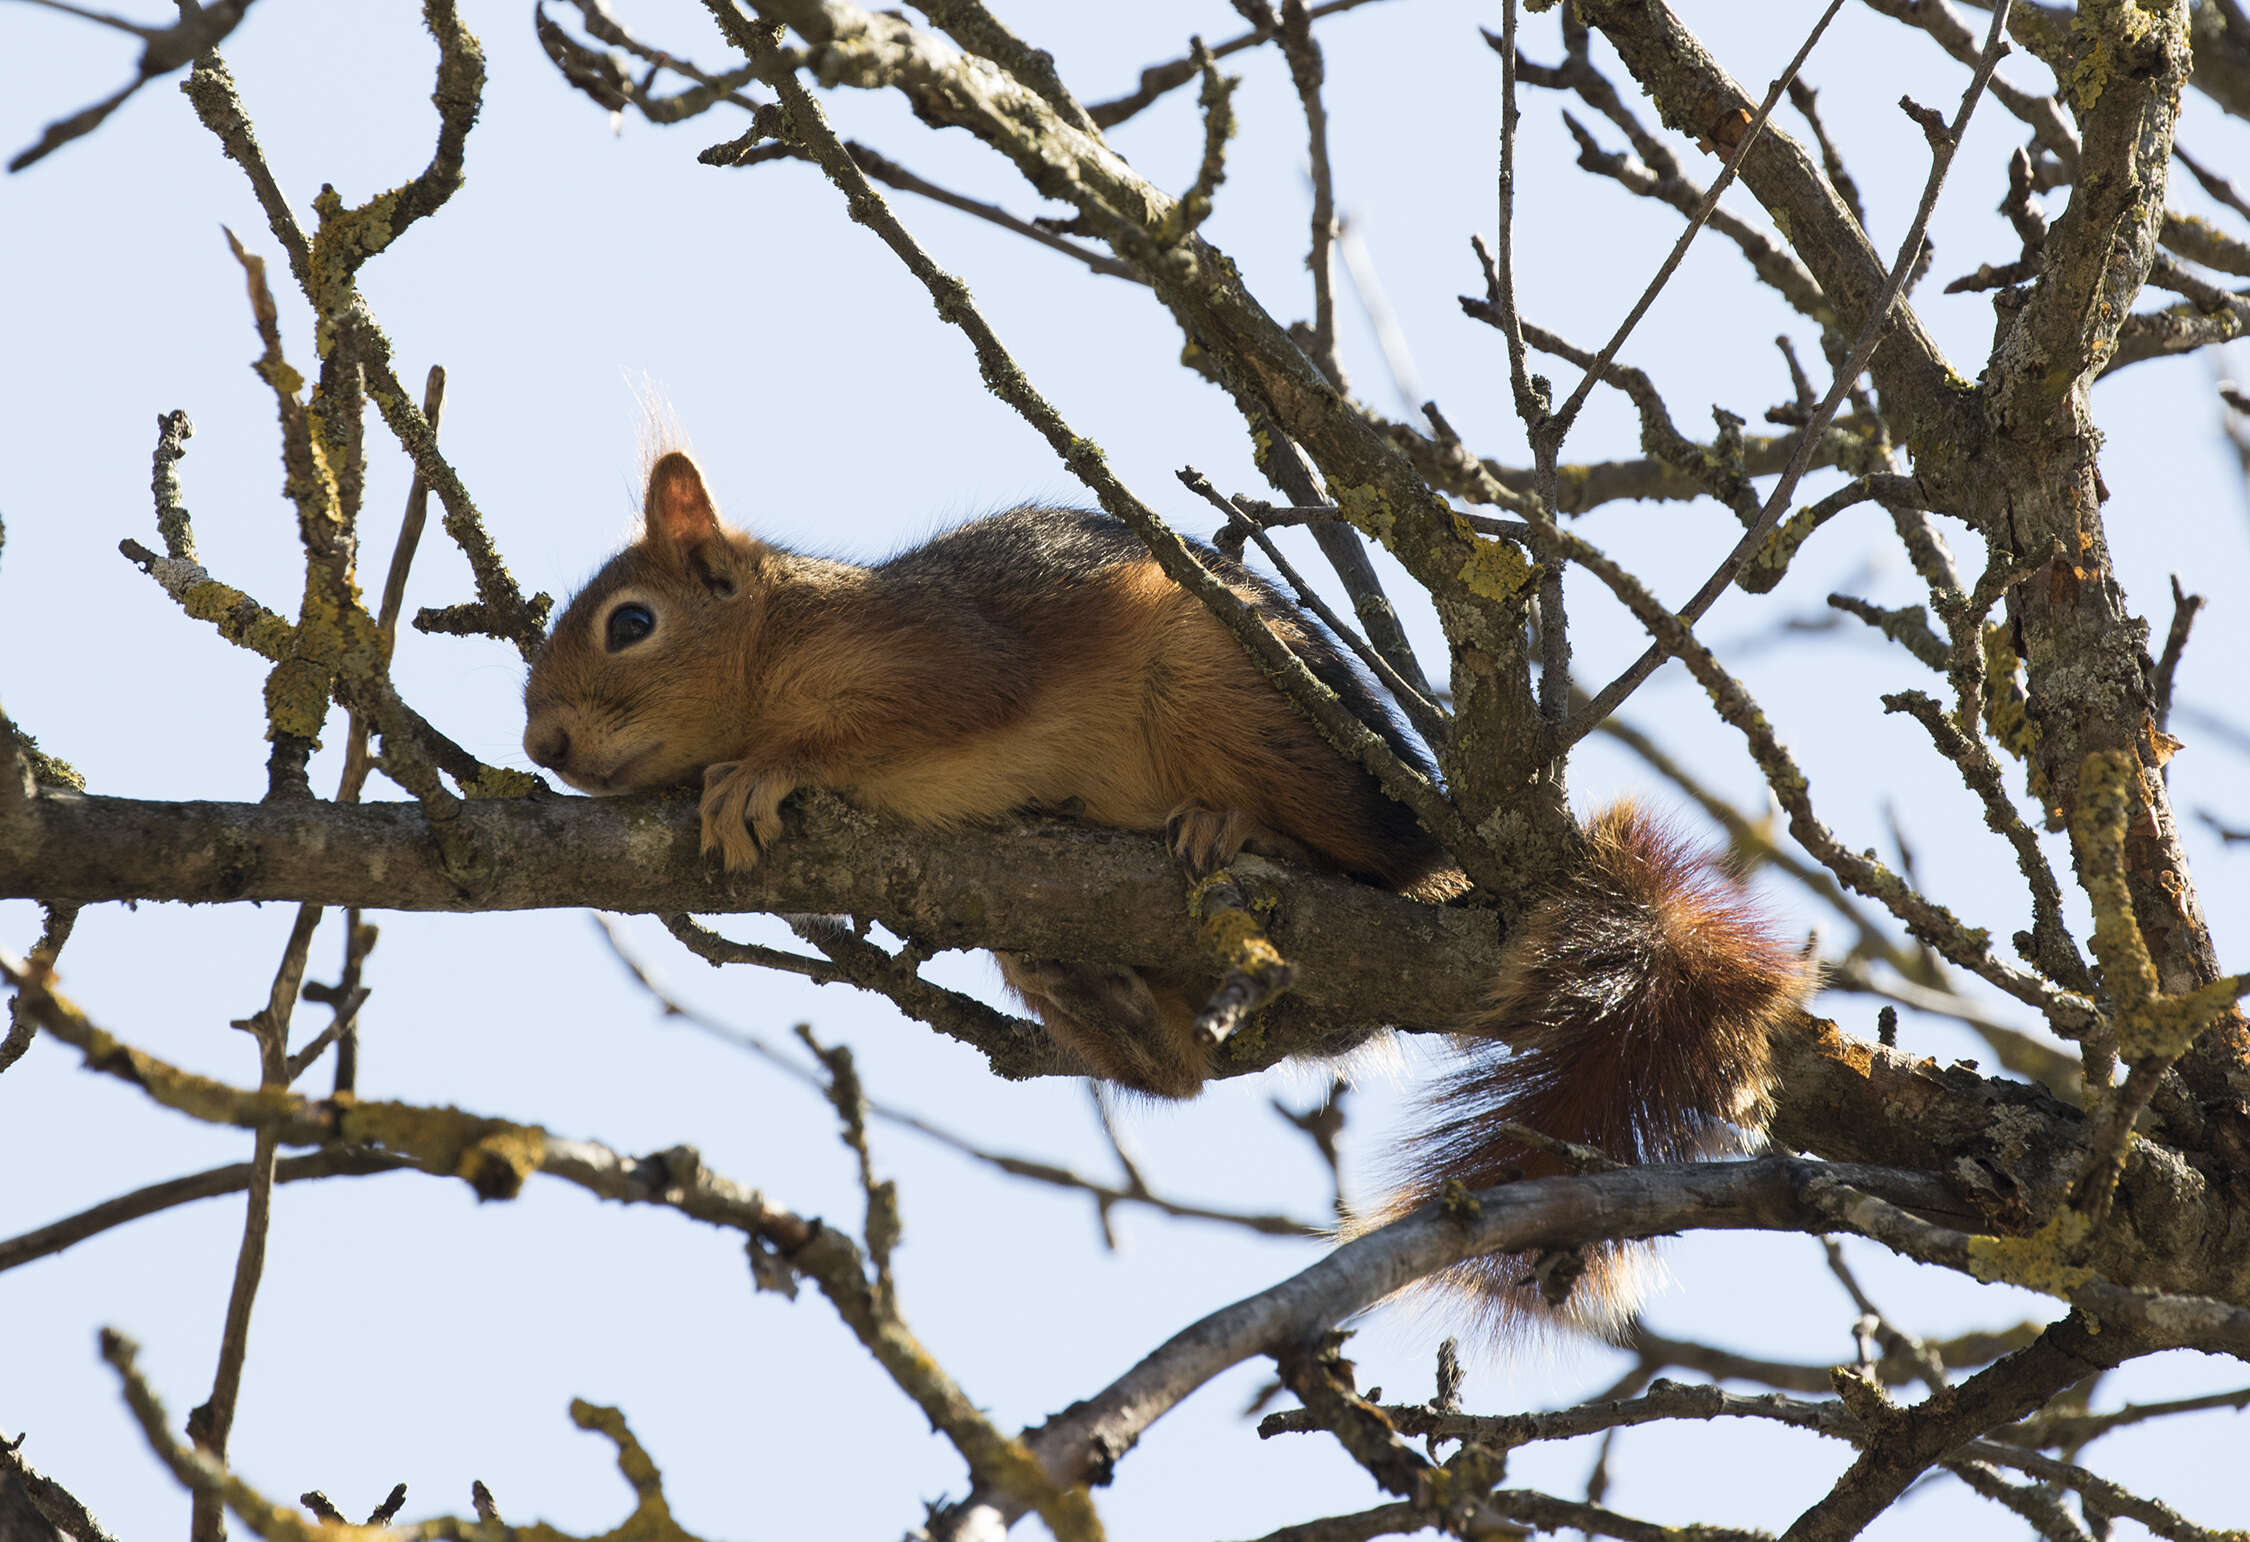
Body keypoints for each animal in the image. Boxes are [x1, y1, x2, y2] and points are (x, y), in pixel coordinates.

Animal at [522, 447, 1809, 1332]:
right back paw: (1085, 988)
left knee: (1361, 863)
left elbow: (895, 716)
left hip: (1222, 690)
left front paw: (764, 772)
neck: (784, 628)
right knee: (1183, 1069)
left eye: (631, 623)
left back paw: (1237, 832)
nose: (543, 745)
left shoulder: (934, 652)